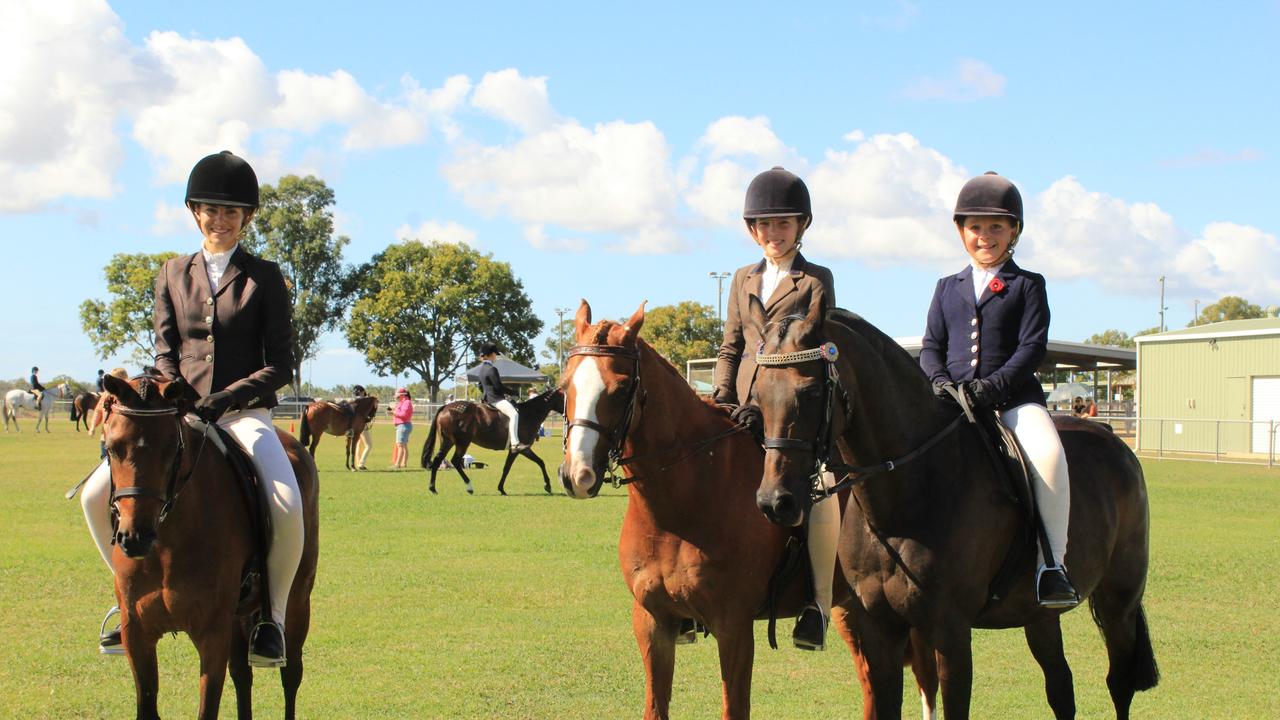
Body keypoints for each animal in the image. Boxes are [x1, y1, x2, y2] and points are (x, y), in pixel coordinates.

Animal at [97, 368, 320, 717]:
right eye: (112, 447)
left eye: (172, 448)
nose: (135, 538)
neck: (167, 546)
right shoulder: (137, 634)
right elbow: (147, 705)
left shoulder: (211, 634)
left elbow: (208, 708)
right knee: (242, 675)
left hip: (298, 600)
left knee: (291, 675)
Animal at [422, 386, 563, 491]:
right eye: (564, 396)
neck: (529, 414)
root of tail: (445, 407)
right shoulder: (519, 449)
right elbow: (509, 468)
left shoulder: (523, 449)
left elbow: (539, 462)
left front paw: (547, 486)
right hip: (462, 442)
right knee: (455, 461)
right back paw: (469, 487)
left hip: (448, 442)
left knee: (438, 460)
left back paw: (433, 488)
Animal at [560, 299, 942, 717]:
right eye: (564, 386)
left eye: (620, 387)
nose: (576, 474)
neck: (680, 508)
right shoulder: (652, 622)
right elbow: (656, 706)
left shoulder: (734, 628)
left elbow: (735, 707)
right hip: (855, 611)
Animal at [747, 297, 1162, 717]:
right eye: (759, 394)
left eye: (811, 392)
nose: (775, 502)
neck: (902, 502)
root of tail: (1114, 441)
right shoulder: (880, 630)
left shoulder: (951, 632)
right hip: (1039, 614)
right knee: (1061, 687)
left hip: (1119, 601)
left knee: (1118, 682)